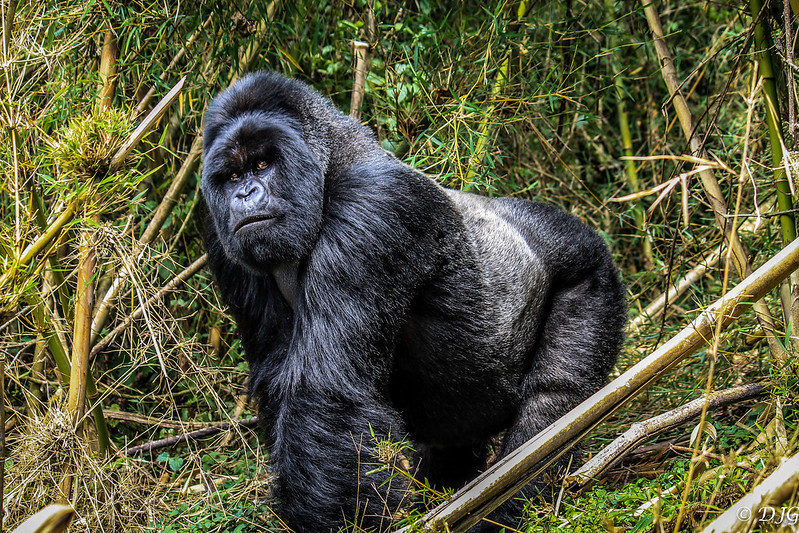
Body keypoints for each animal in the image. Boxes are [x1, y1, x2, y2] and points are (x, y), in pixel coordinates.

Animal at [203, 71, 628, 532]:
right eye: (232, 175)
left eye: (263, 165)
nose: (245, 194)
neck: (330, 164)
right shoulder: (223, 241)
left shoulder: (376, 204)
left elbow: (325, 391)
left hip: (590, 273)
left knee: (553, 406)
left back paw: (514, 505)